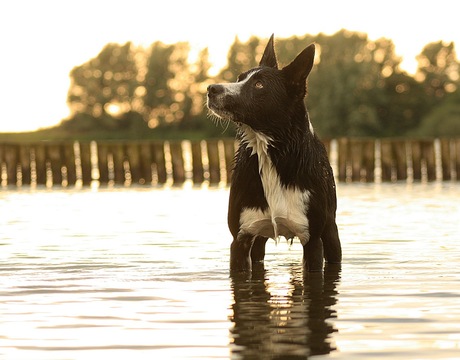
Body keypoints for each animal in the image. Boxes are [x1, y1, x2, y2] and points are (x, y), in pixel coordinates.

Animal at [207, 35, 340, 272]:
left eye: (259, 84)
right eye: (240, 78)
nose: (212, 89)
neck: (270, 154)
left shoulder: (313, 240)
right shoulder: (241, 238)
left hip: (330, 230)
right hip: (258, 239)